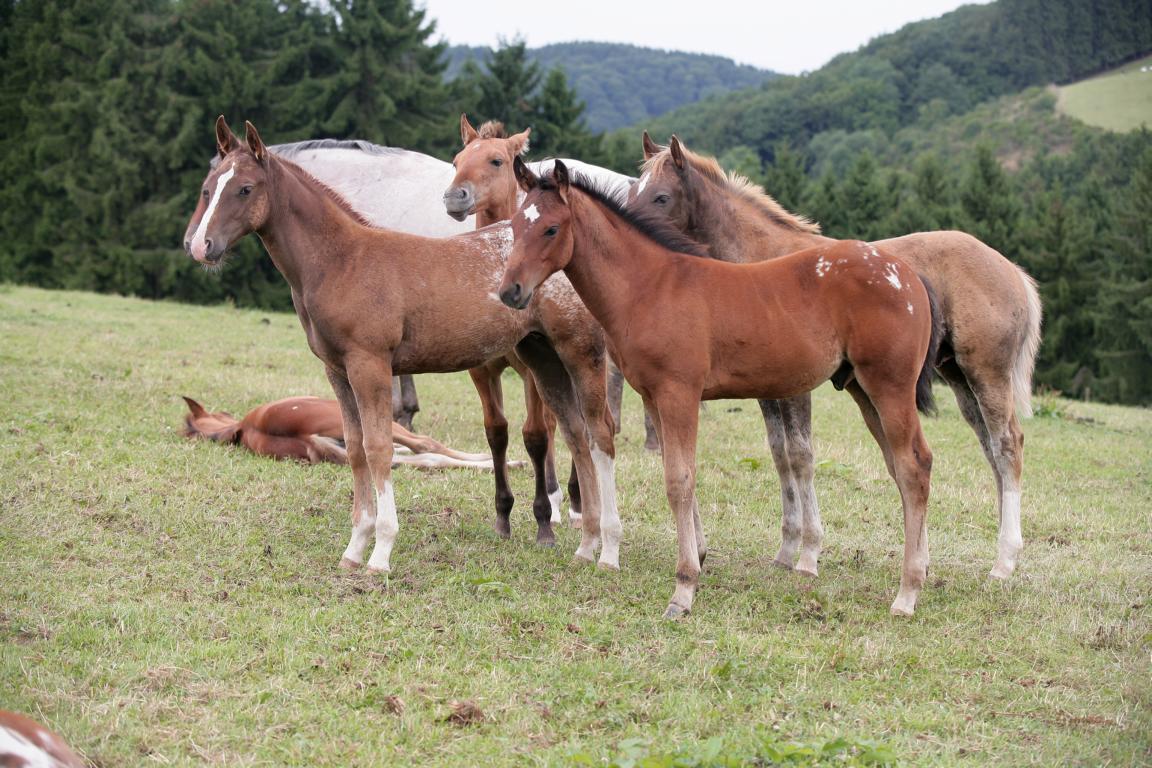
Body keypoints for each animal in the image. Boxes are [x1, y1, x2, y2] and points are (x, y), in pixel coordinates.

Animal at [499, 162, 940, 617]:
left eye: (551, 228)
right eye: (514, 225)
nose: (510, 291)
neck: (649, 286)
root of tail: (908, 276)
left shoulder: (679, 393)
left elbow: (679, 481)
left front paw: (684, 588)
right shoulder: (653, 398)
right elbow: (677, 474)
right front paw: (697, 558)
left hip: (889, 386)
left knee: (913, 466)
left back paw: (906, 593)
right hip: (863, 390)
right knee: (905, 466)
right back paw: (920, 574)